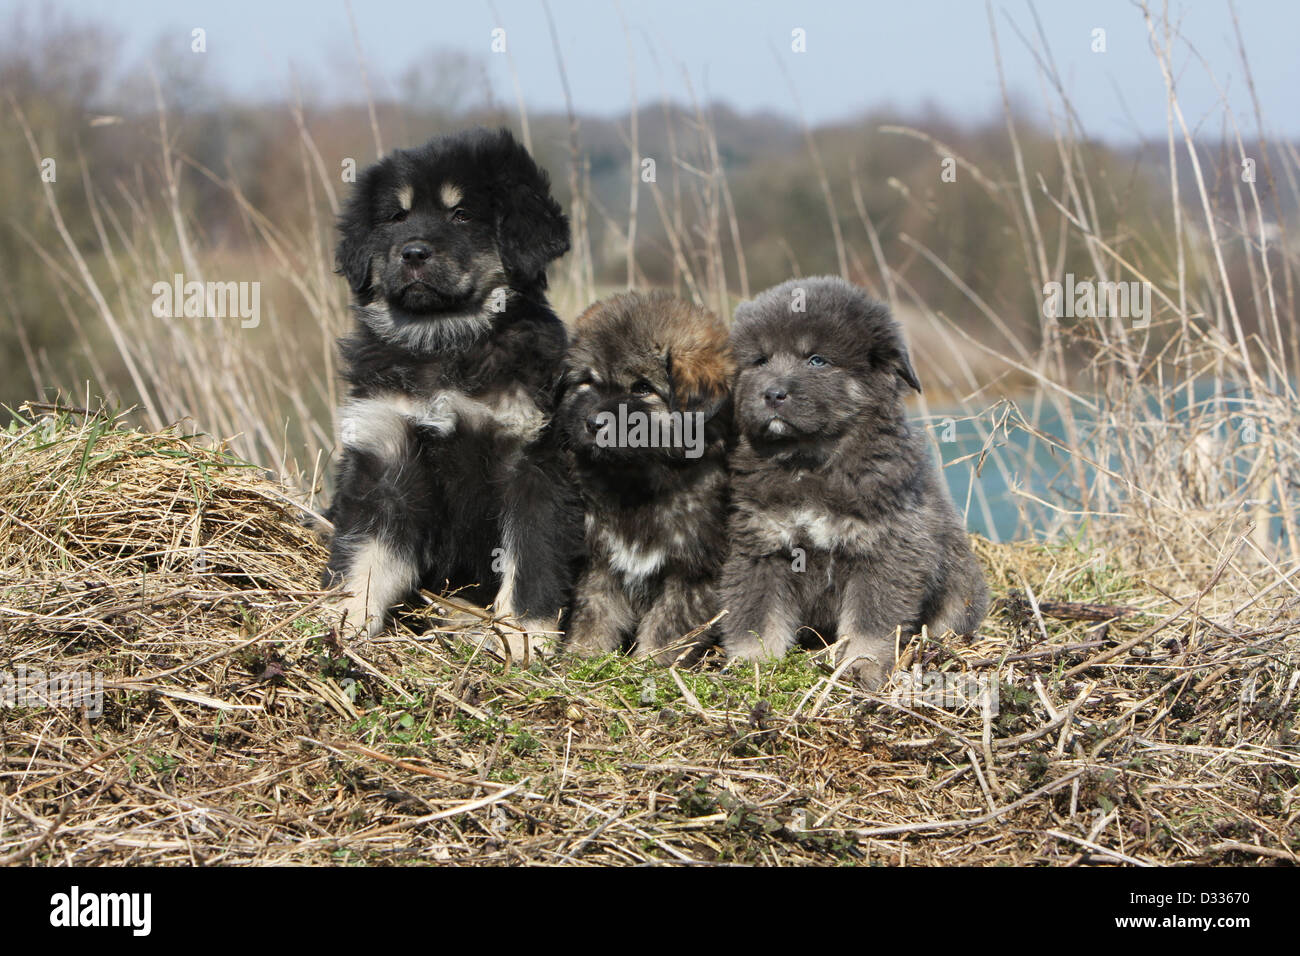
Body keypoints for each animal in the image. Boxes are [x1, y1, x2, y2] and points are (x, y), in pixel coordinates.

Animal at [327, 127, 582, 655]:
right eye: (396, 217)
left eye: (461, 214)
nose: (413, 253)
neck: (443, 340)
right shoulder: (384, 452)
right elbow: (365, 553)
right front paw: (344, 618)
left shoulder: (533, 459)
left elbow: (531, 556)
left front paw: (523, 634)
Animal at [561, 291, 738, 665]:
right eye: (588, 381)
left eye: (642, 388)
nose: (593, 423)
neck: (638, 482)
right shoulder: (599, 560)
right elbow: (594, 613)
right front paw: (582, 656)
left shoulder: (692, 571)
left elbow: (668, 625)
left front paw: (652, 663)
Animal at [722, 277, 982, 686]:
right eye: (760, 360)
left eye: (817, 360)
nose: (772, 394)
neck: (809, 463)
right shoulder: (760, 547)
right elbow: (756, 616)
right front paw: (752, 664)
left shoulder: (885, 550)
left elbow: (870, 622)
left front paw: (860, 665)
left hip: (960, 578)